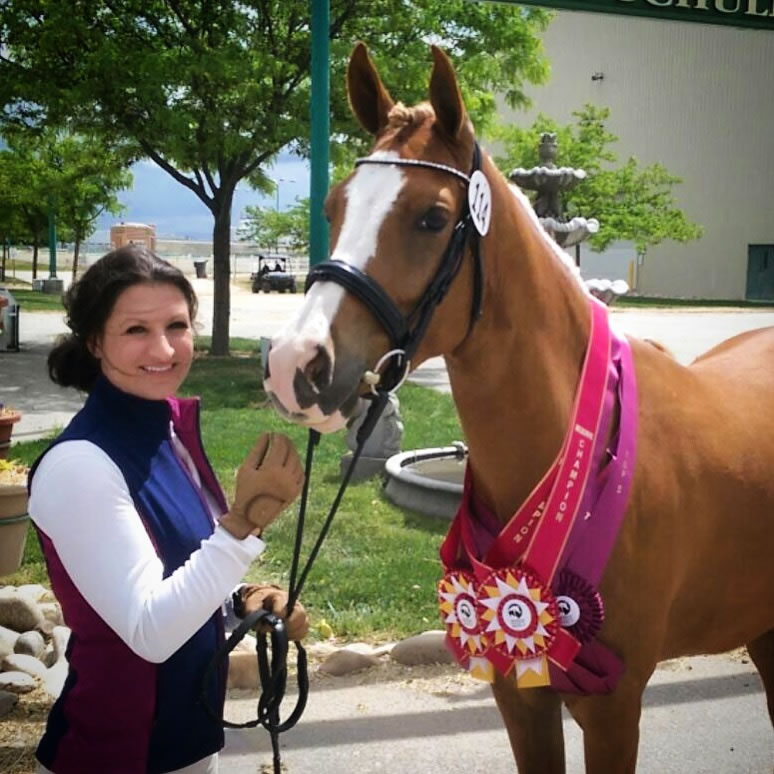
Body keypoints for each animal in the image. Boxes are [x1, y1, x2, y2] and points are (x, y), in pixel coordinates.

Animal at [266, 44, 774, 774]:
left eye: (431, 217)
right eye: (334, 206)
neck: (583, 454)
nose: (292, 364)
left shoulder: (614, 709)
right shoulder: (520, 695)